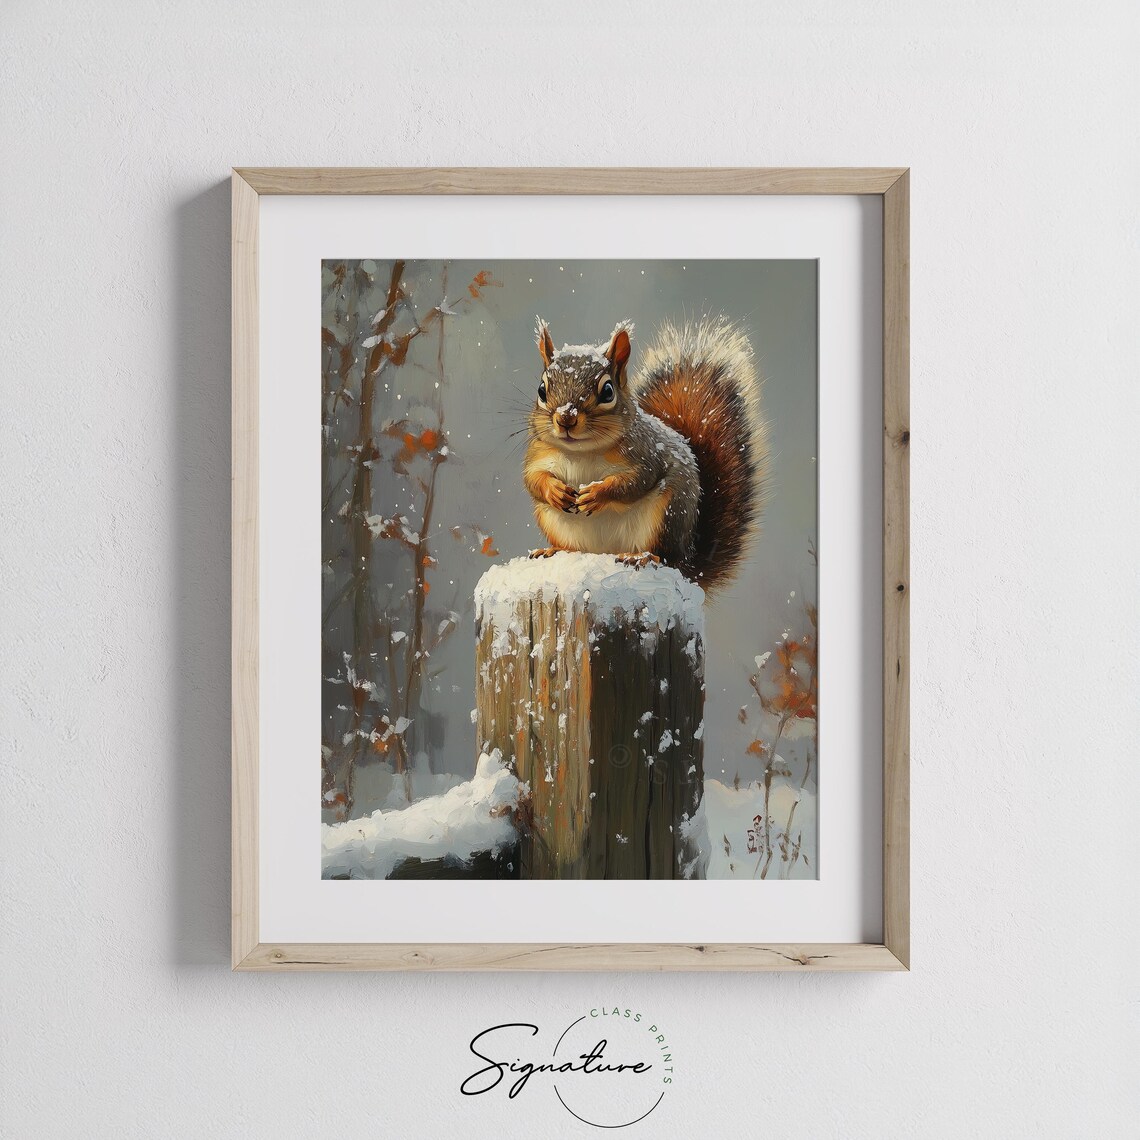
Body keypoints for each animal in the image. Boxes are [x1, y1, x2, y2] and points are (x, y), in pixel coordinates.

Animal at [523, 316, 769, 594]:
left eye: (608, 391)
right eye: (542, 390)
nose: (566, 418)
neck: (582, 452)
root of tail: (688, 561)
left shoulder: (646, 455)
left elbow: (634, 482)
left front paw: (597, 493)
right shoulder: (537, 455)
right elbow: (532, 480)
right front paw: (554, 491)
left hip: (667, 515)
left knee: (665, 557)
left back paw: (641, 556)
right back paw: (552, 551)